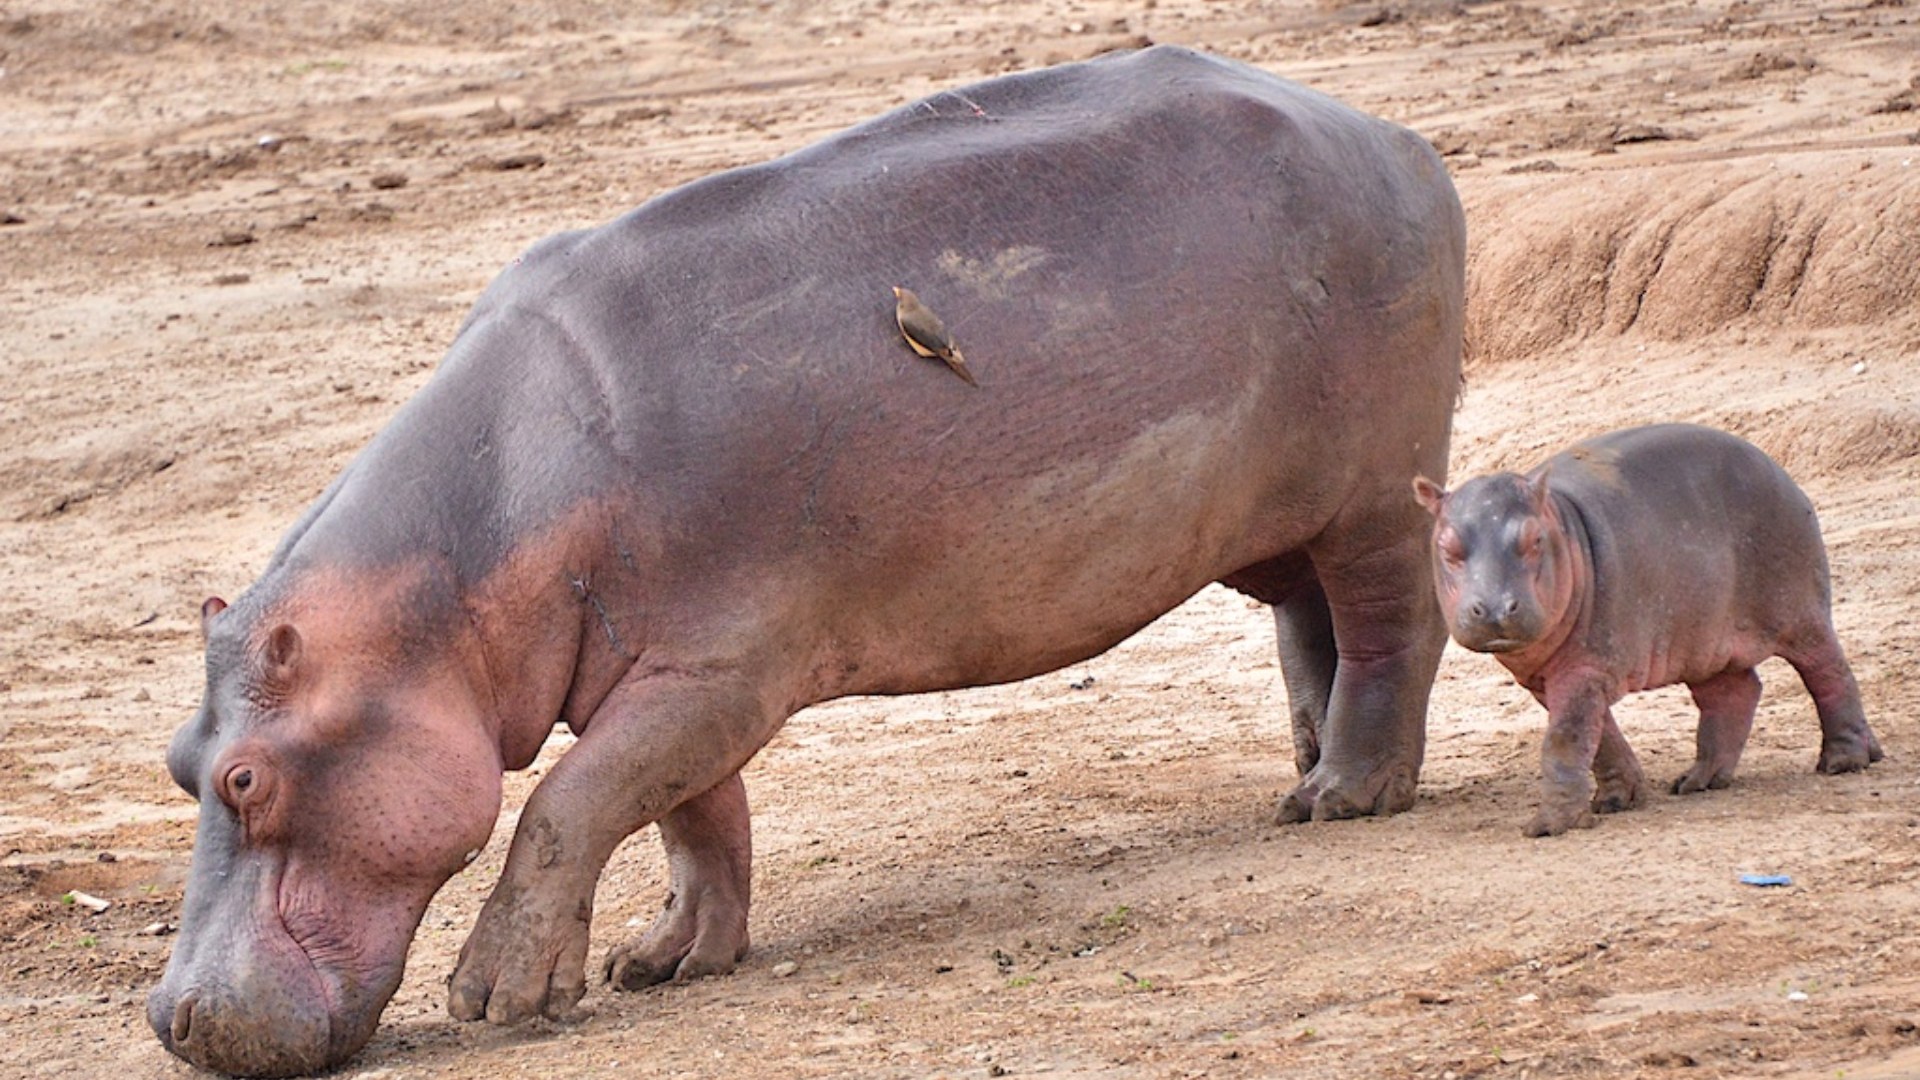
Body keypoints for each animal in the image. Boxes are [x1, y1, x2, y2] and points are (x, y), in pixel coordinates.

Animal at [151, 45, 1466, 1076]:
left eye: (247, 781)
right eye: (178, 763)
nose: (170, 1019)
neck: (443, 594)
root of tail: (1391, 134)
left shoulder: (715, 669)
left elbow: (570, 808)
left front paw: (498, 997)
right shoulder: (672, 677)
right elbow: (688, 817)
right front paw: (667, 962)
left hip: (1377, 494)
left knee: (1391, 627)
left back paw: (1350, 796)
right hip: (1278, 524)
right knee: (1310, 626)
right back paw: (1301, 782)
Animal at [1413, 424, 1882, 837]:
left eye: (1534, 540)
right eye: (1446, 547)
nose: (1494, 607)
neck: (1560, 524)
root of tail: (1777, 468)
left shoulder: (1585, 668)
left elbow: (1565, 739)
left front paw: (1548, 826)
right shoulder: (1550, 676)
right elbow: (1600, 735)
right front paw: (1617, 800)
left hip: (1800, 611)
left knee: (1829, 670)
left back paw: (1845, 760)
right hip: (1704, 639)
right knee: (1734, 693)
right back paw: (1698, 781)